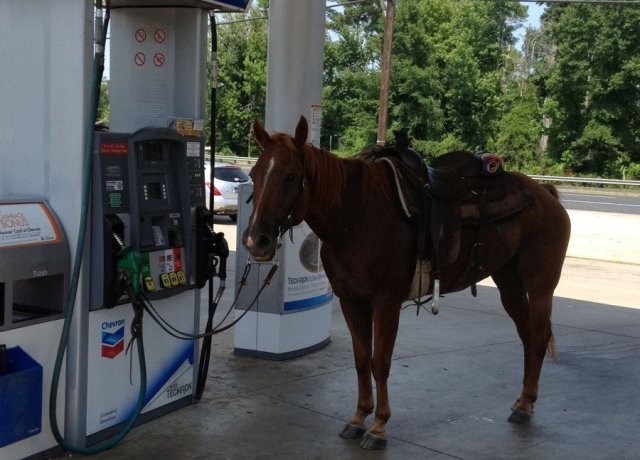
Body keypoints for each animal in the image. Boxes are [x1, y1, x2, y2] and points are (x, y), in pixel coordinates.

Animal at [243, 116, 571, 450]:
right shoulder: (351, 301)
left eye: (291, 176)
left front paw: (378, 427)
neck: (358, 215)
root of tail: (544, 193)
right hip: (509, 283)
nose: (257, 241)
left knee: (538, 338)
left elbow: (380, 362)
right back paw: (522, 401)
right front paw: (358, 418)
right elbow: (362, 359)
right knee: (527, 336)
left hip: (540, 286)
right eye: (254, 174)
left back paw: (526, 406)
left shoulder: (386, 303)